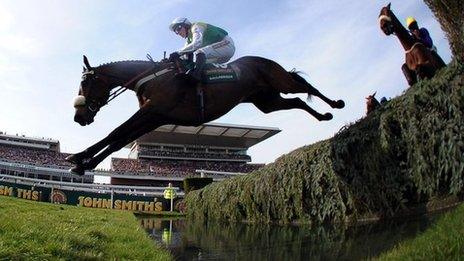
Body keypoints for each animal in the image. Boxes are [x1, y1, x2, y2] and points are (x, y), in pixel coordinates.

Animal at [68, 54, 344, 175]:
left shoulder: (152, 111)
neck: (152, 78)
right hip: (267, 101)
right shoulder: (155, 117)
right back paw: (323, 116)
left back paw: (335, 104)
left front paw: (79, 159)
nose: (79, 117)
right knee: (297, 100)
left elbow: (116, 132)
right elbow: (119, 139)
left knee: (304, 86)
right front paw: (82, 161)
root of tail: (265, 60)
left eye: (84, 83)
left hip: (281, 81)